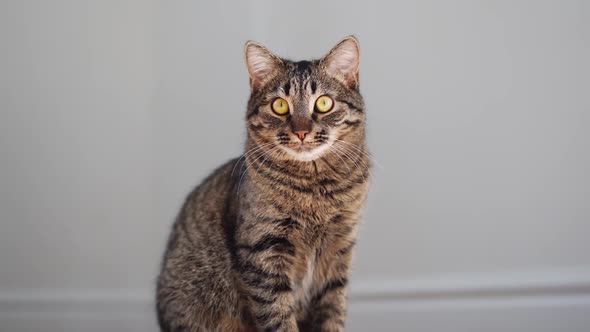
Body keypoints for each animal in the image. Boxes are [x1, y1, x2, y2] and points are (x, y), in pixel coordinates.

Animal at [157, 36, 370, 332]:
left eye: (324, 103)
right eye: (279, 106)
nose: (301, 131)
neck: (315, 190)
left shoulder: (340, 251)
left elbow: (333, 313)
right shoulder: (264, 252)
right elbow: (279, 317)